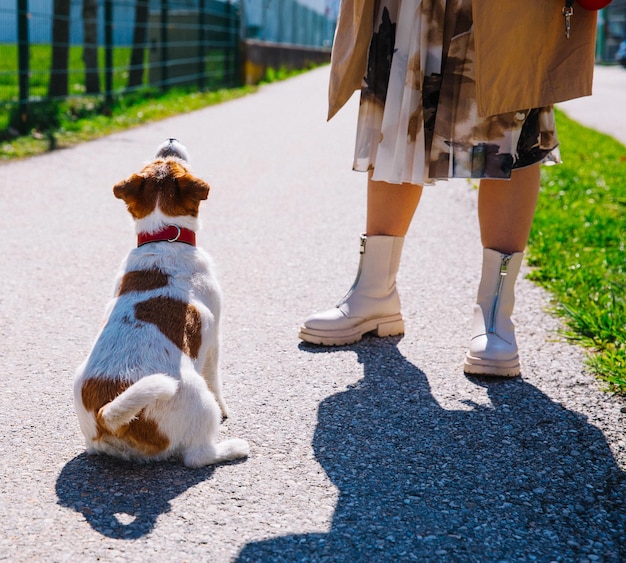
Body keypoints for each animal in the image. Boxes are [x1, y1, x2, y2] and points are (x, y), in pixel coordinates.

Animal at [73, 139, 249, 470]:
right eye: (174, 162)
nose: (169, 139)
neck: (164, 238)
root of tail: (107, 416)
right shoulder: (214, 339)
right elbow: (217, 380)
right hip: (198, 399)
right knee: (196, 456)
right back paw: (233, 448)